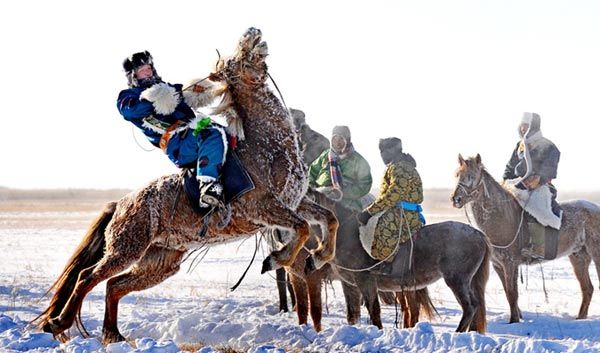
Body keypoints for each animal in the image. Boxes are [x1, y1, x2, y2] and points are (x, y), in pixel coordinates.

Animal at [35, 28, 338, 344]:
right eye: (233, 59)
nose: (253, 32)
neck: (267, 148)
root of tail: (121, 203)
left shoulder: (294, 201)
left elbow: (329, 219)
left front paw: (318, 258)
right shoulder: (262, 206)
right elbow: (302, 228)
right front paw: (275, 259)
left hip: (160, 261)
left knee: (115, 285)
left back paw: (113, 335)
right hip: (126, 249)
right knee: (88, 277)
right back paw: (59, 323)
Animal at [452, 153, 600, 322]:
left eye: (471, 176)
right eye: (457, 175)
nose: (456, 199)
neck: (503, 218)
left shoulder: (510, 263)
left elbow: (512, 293)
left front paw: (514, 320)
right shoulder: (498, 265)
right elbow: (507, 292)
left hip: (596, 254)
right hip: (578, 257)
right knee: (587, 288)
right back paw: (580, 318)